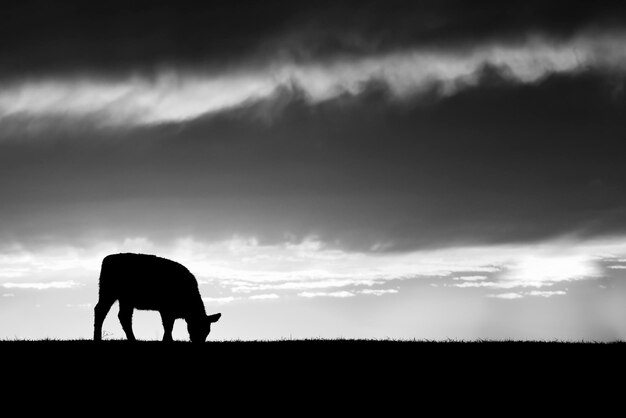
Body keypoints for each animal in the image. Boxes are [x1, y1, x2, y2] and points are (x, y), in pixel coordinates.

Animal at [91, 253, 221, 342]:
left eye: (208, 330)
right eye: (196, 326)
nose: (198, 342)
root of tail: (108, 258)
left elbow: (169, 326)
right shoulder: (166, 309)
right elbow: (168, 326)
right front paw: (168, 340)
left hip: (125, 299)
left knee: (123, 316)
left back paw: (132, 339)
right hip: (108, 292)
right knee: (101, 310)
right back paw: (98, 337)